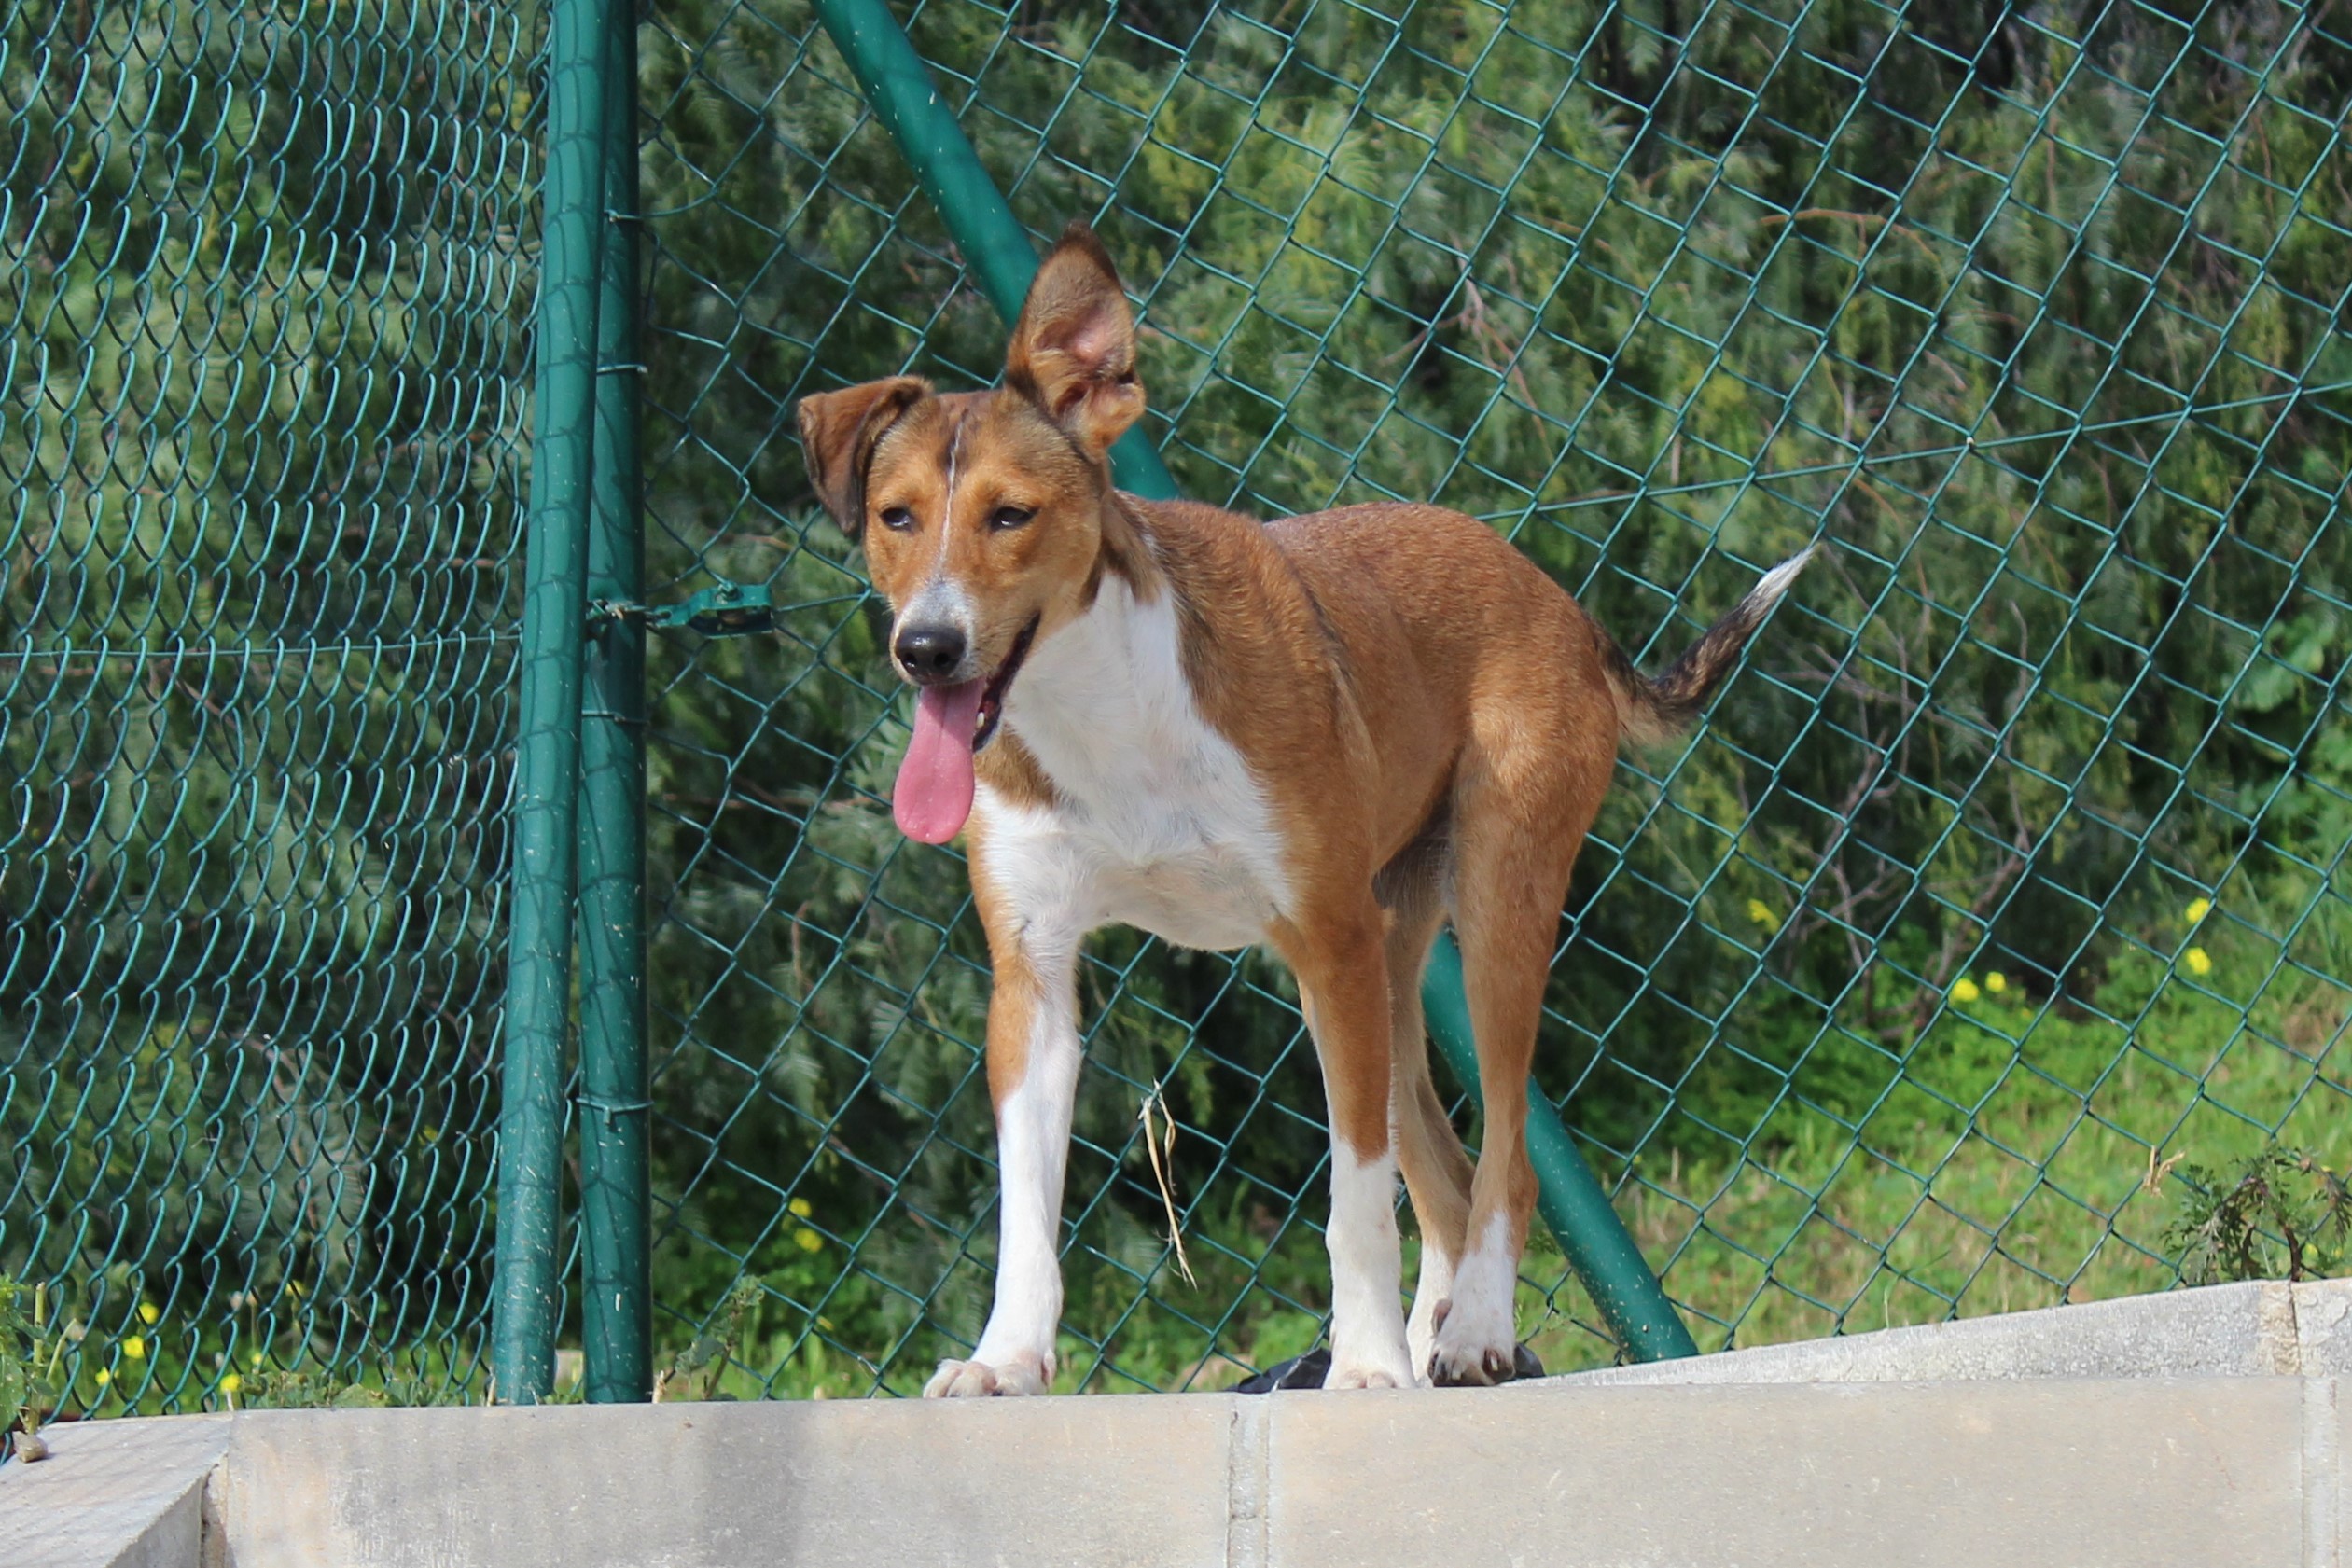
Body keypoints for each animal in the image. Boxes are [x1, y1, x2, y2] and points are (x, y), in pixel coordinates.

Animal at [800, 223, 1806, 1401]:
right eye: (896, 517)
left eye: (1012, 515)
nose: (927, 647)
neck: (1106, 713)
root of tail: (1552, 594)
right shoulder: (1032, 978)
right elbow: (1026, 1215)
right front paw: (1005, 1360)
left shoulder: (1328, 946)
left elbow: (1354, 1202)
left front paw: (1363, 1363)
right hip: (1396, 961)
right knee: (1444, 1174)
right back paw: (1433, 1341)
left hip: (1489, 920)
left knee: (1502, 1161)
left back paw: (1468, 1334)